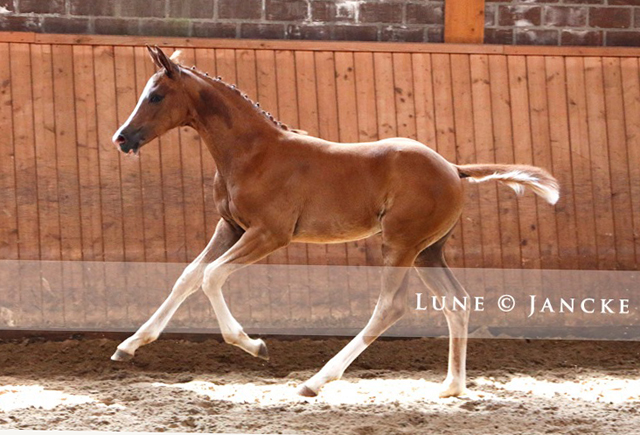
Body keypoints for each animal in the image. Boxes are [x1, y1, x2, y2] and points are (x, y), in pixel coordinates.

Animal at [111, 46, 560, 398]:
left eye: (155, 95)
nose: (122, 137)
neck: (253, 152)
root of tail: (454, 168)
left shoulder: (270, 233)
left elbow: (211, 277)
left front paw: (255, 345)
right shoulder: (231, 227)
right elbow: (188, 276)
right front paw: (128, 346)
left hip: (401, 244)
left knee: (390, 307)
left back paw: (315, 381)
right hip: (428, 252)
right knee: (457, 302)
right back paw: (452, 386)